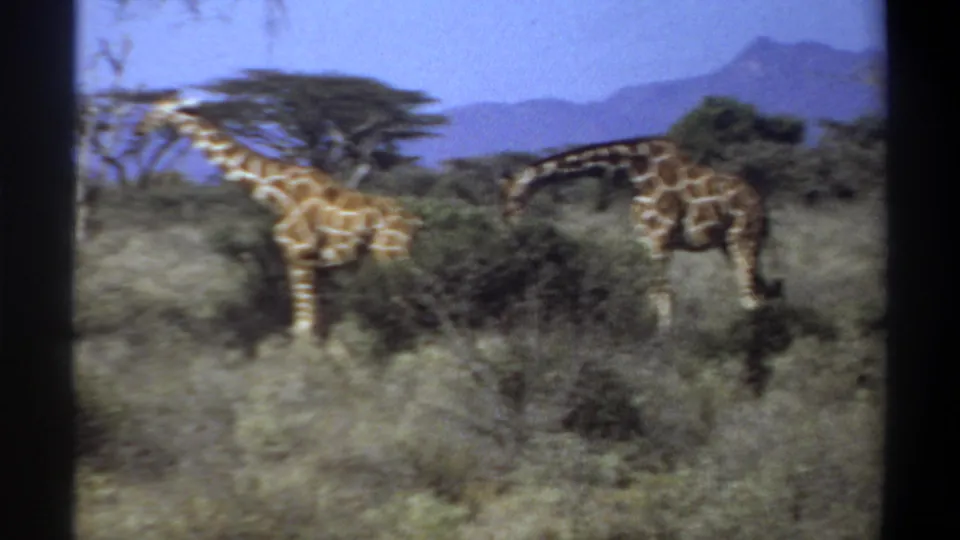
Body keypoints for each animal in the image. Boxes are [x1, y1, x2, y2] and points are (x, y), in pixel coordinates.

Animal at [134, 90, 423, 341]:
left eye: (159, 110)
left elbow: (303, 324)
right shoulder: (314, 261)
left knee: (406, 301)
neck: (277, 192)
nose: (139, 130)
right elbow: (315, 322)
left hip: (389, 255)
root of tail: (415, 220)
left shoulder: (298, 252)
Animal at [498, 135, 780, 333]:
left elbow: (662, 294)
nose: (508, 225)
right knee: (760, 292)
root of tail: (760, 205)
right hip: (730, 243)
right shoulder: (646, 241)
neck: (634, 169)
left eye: (510, 199)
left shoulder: (658, 239)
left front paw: (664, 342)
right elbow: (654, 294)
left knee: (750, 297)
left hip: (742, 237)